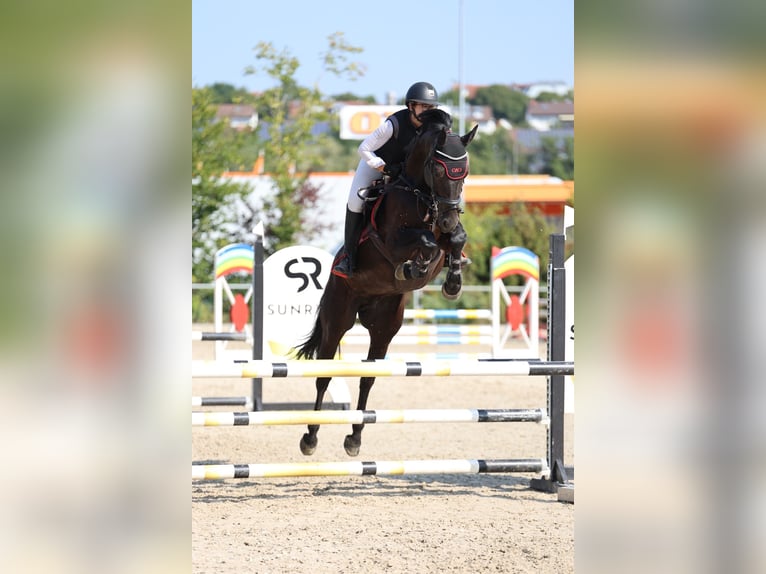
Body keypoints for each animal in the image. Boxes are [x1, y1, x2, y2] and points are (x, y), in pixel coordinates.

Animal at [296, 109, 476, 460]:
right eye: (438, 168)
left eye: (464, 172)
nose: (448, 218)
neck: (420, 195)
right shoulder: (392, 241)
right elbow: (424, 243)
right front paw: (412, 267)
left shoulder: (445, 236)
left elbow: (455, 240)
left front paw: (452, 283)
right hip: (338, 317)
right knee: (324, 374)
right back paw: (310, 438)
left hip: (384, 327)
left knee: (368, 378)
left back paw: (354, 439)